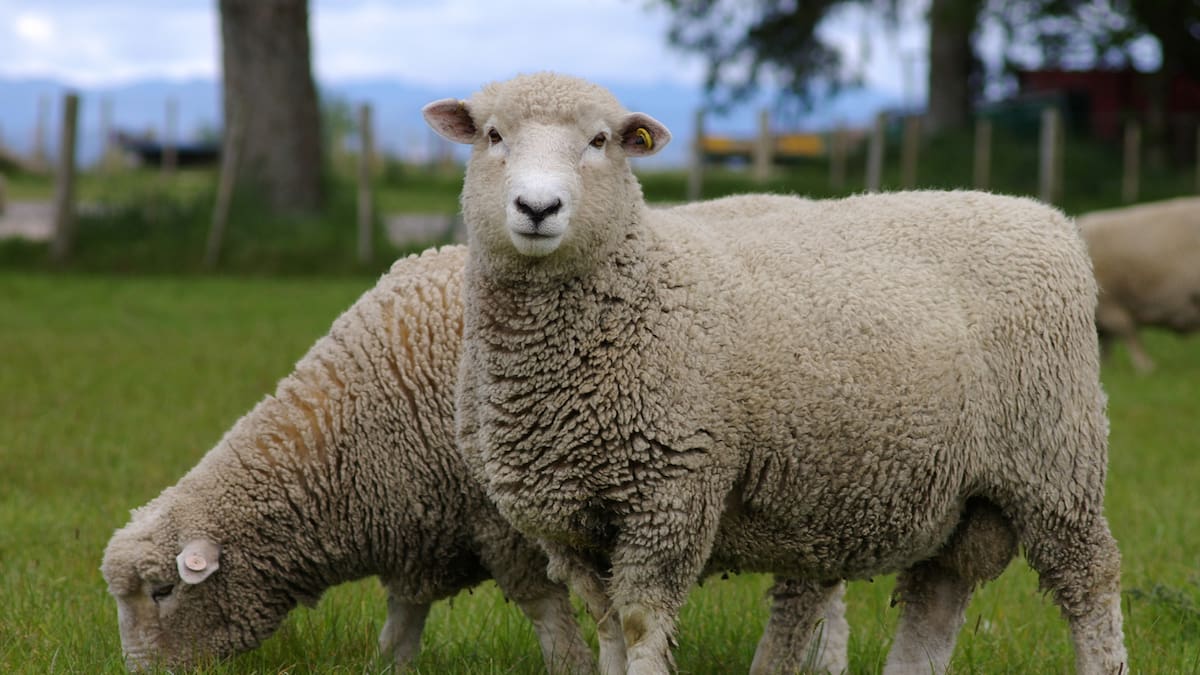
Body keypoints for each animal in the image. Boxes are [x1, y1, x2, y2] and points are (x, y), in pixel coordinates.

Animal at [100, 245, 595, 674]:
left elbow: (543, 607)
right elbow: (403, 621)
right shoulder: (421, 529)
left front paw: (571, 665)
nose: (139, 674)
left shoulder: (500, 523)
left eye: (163, 591)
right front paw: (390, 667)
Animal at [423, 72, 1128, 675]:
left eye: (599, 141)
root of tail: (1046, 217)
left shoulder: (672, 494)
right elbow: (605, 629)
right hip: (961, 490)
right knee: (934, 602)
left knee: (1091, 581)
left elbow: (639, 625)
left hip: (1053, 463)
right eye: (493, 136)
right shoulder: (567, 523)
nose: (537, 207)